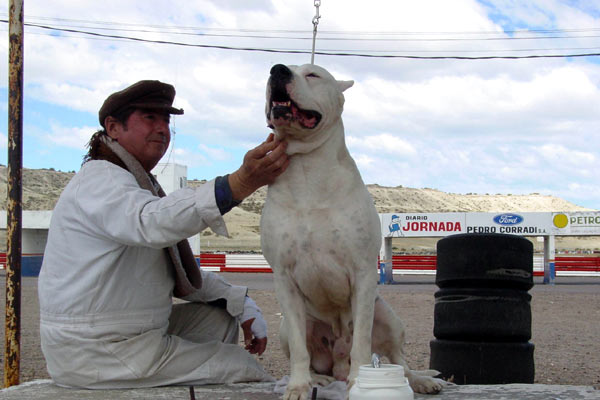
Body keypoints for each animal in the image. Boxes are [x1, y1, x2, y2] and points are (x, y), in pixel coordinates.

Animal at [260, 64, 448, 398]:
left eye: (313, 75)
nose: (277, 70)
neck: (308, 168)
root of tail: (337, 363)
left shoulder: (362, 272)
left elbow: (361, 338)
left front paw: (359, 382)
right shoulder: (284, 278)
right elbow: (299, 349)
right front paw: (298, 386)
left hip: (388, 316)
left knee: (400, 361)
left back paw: (420, 381)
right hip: (286, 327)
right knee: (306, 351)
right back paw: (318, 380)